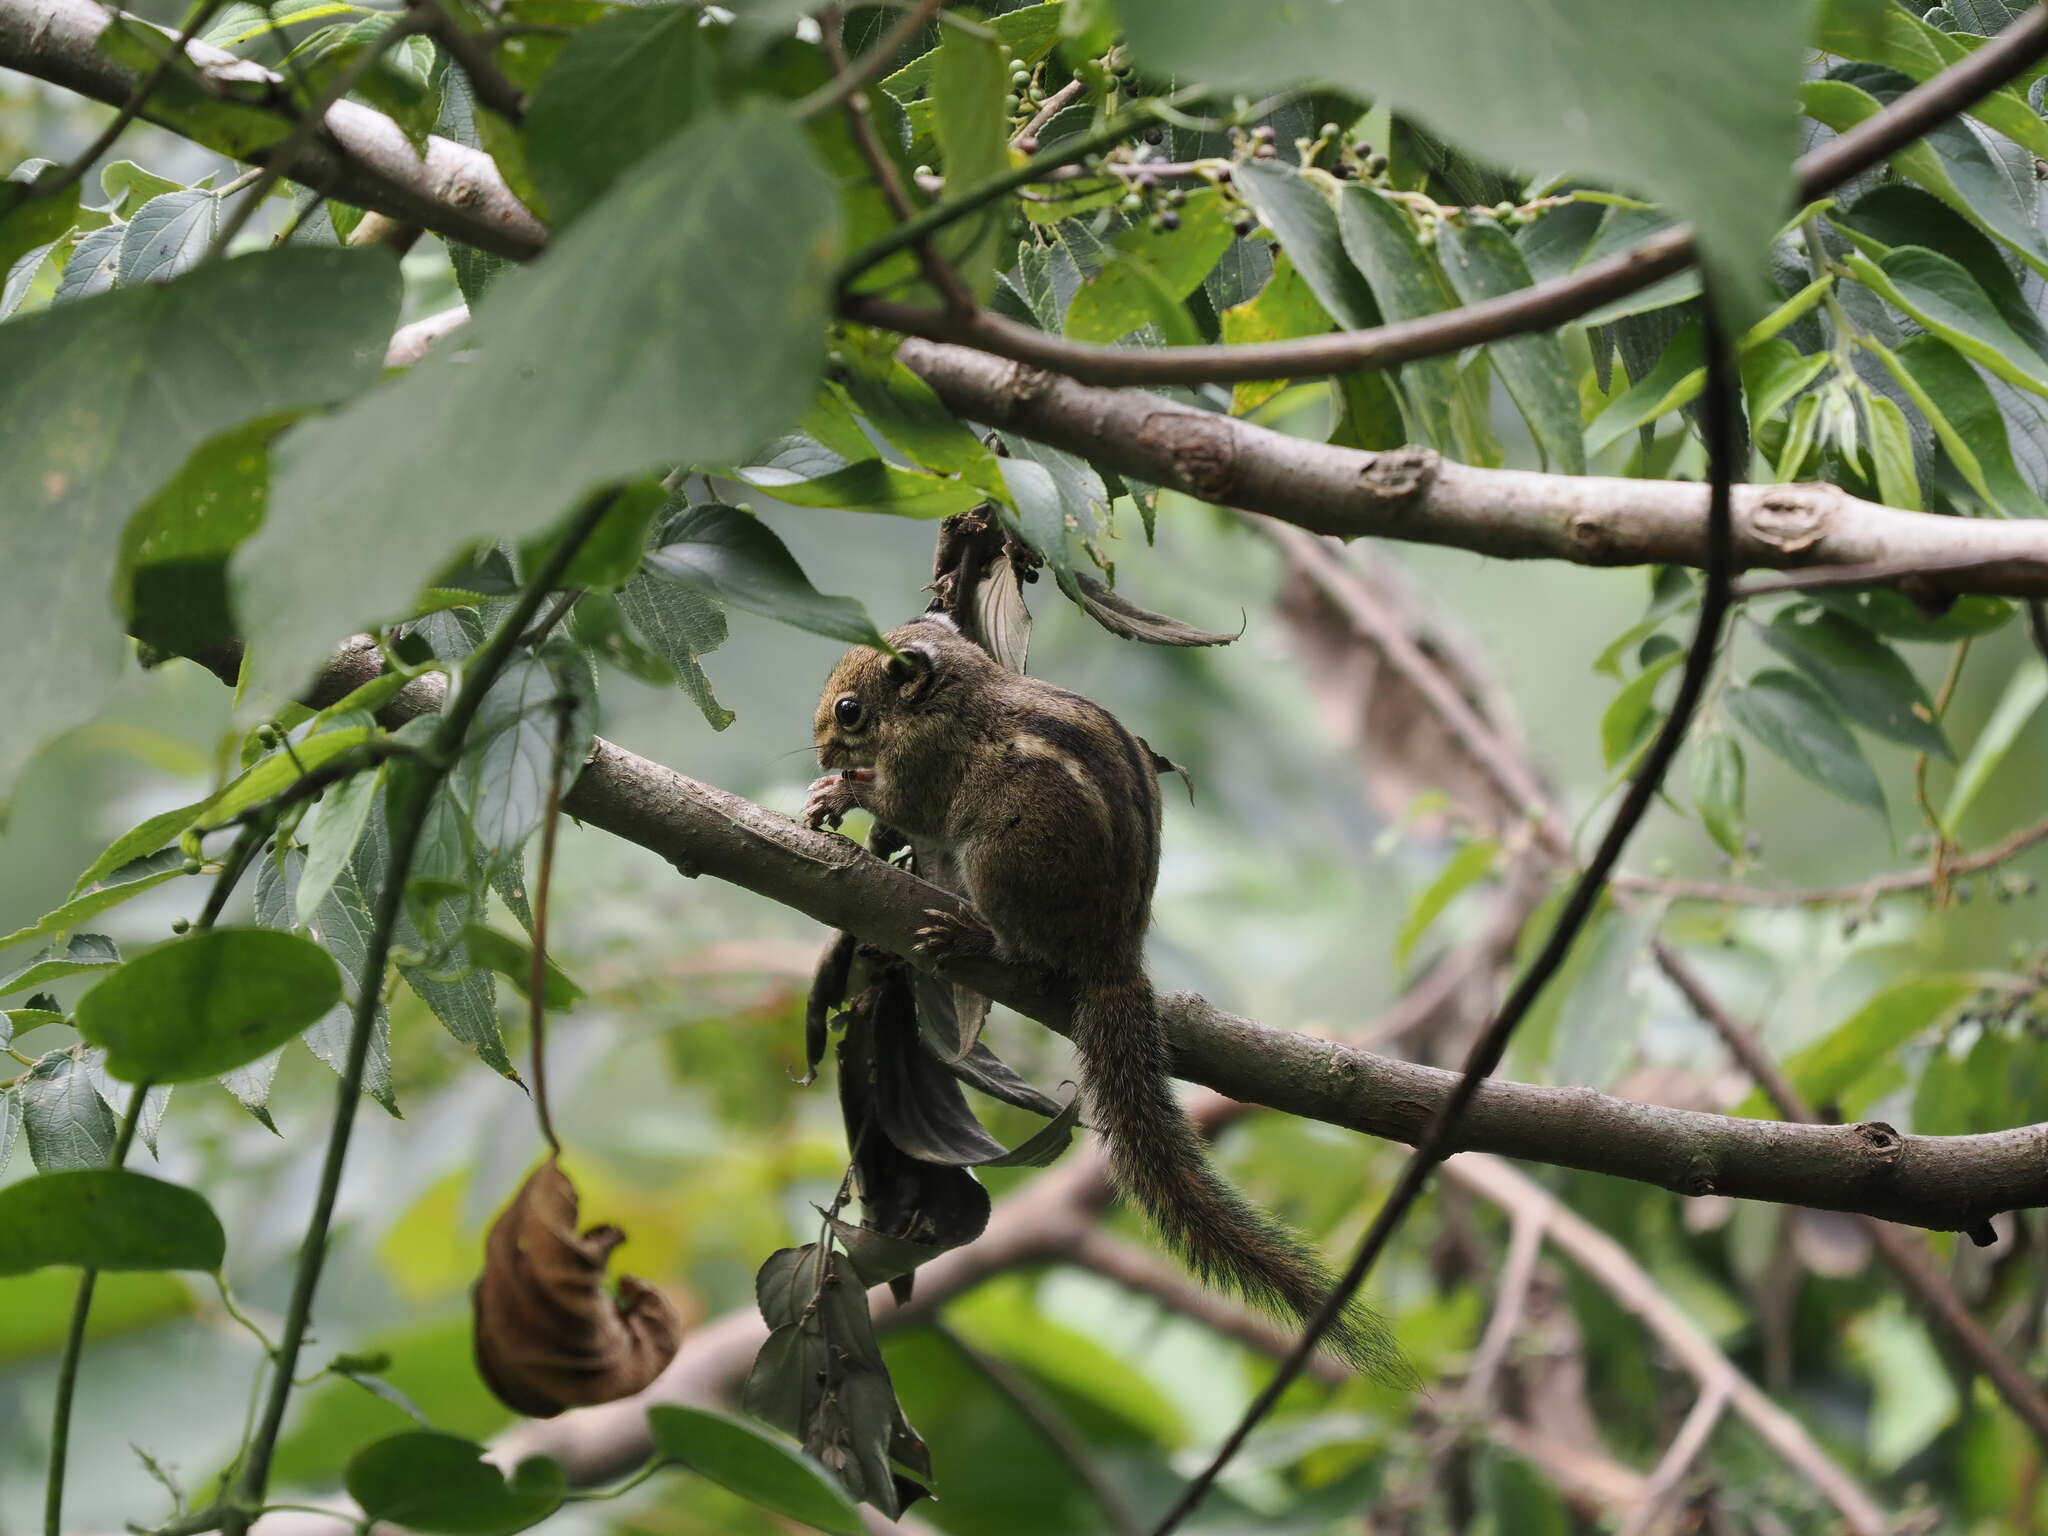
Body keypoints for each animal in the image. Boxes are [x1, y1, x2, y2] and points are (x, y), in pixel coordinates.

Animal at [798, 618, 1409, 1384]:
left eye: (850, 710)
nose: (821, 747)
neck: (950, 700)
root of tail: (1116, 955)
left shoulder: (924, 767)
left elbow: (904, 808)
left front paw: (841, 790)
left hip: (1000, 860)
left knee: (1020, 949)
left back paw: (972, 933)